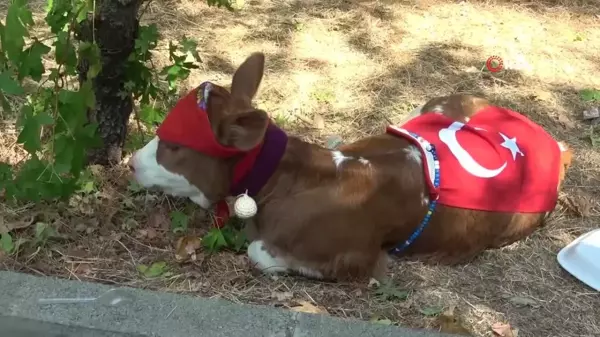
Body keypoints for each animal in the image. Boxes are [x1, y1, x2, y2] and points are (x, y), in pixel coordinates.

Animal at [129, 51, 576, 280]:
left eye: (173, 146)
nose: (131, 162)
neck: (291, 180)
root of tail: (553, 144)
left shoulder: (357, 258)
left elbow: (258, 251)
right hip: (434, 104)